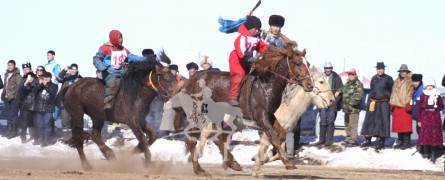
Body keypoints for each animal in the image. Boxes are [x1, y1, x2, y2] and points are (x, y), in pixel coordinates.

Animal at [170, 41, 312, 176]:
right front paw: (287, 162)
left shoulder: (270, 115)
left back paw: (232, 163)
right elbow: (273, 137)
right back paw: (199, 169)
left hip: (216, 115)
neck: (266, 85)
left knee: (217, 137)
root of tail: (188, 81)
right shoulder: (261, 117)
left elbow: (280, 135)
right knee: (193, 141)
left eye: (308, 63)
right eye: (298, 63)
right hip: (196, 115)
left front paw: (267, 158)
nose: (310, 85)